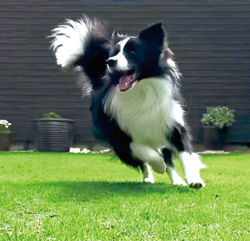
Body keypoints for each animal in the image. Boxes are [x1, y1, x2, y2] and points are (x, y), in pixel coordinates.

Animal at [50, 16, 205, 187]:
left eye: (132, 51)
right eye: (115, 53)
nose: (110, 61)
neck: (140, 90)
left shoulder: (173, 123)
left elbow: (185, 154)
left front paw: (194, 180)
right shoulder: (117, 132)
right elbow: (141, 149)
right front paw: (158, 165)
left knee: (167, 158)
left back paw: (176, 180)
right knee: (142, 161)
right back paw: (149, 177)